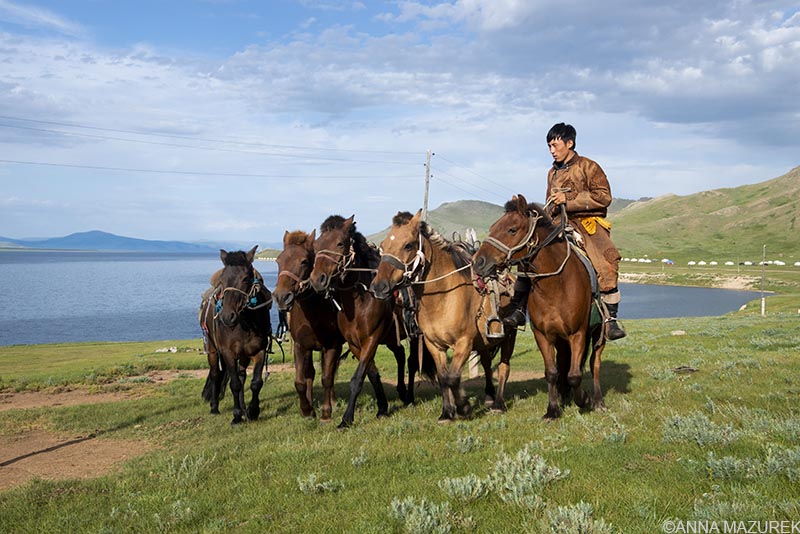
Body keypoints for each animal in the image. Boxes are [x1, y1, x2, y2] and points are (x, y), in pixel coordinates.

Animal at [198, 247, 274, 428]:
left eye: (246, 278)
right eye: (223, 279)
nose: (227, 317)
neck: (245, 322)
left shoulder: (259, 351)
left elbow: (255, 383)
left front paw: (252, 411)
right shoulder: (228, 353)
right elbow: (234, 384)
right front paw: (236, 416)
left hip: (244, 355)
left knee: (241, 376)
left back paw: (245, 408)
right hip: (213, 350)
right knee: (215, 374)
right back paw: (214, 407)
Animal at [308, 216, 432, 430]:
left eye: (340, 243)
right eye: (316, 246)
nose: (318, 280)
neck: (361, 300)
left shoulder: (371, 339)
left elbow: (358, 378)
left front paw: (346, 419)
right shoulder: (355, 344)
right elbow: (372, 374)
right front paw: (382, 408)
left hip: (414, 334)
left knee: (411, 361)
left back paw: (409, 397)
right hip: (391, 336)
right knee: (400, 355)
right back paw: (401, 392)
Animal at [370, 211, 520, 426]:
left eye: (408, 245)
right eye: (382, 246)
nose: (378, 287)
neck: (444, 296)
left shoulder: (463, 343)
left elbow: (453, 377)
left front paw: (464, 408)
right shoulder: (434, 345)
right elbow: (443, 378)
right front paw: (447, 413)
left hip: (509, 337)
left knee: (503, 367)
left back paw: (498, 404)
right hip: (484, 342)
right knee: (486, 365)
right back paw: (490, 397)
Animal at [468, 195, 608, 420]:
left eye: (512, 229)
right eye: (492, 227)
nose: (478, 262)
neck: (556, 285)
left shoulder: (577, 334)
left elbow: (575, 375)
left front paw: (584, 399)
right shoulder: (543, 335)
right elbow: (552, 372)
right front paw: (553, 410)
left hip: (598, 334)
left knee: (594, 364)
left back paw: (598, 401)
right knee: (564, 363)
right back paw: (564, 395)